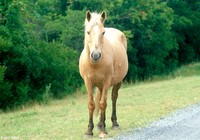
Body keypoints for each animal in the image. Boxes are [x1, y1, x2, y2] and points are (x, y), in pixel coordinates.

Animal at [78, 10, 128, 138]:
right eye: (88, 32)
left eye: (103, 32)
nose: (96, 55)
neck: (95, 64)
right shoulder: (88, 82)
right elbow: (91, 104)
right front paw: (89, 130)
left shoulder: (106, 82)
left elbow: (103, 103)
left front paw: (103, 131)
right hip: (99, 86)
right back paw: (100, 124)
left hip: (117, 82)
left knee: (113, 98)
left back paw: (114, 123)